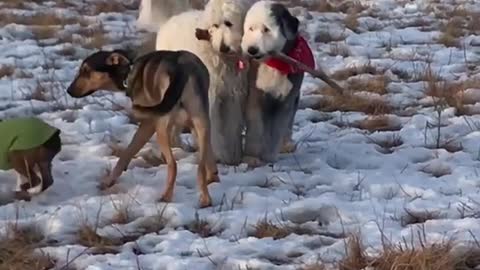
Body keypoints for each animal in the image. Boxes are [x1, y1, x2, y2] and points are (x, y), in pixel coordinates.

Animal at [66, 49, 219, 208]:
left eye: (86, 71)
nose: (68, 90)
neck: (128, 72)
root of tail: (181, 68)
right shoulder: (195, 124)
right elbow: (208, 157)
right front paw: (213, 177)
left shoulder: (149, 123)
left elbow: (128, 151)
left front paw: (109, 181)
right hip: (201, 120)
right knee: (200, 166)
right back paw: (206, 199)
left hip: (162, 126)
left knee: (173, 165)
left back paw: (166, 196)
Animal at [136, 0, 253, 166]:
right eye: (215, 25)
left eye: (228, 23)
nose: (223, 47)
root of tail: (170, 19)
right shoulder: (210, 97)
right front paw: (217, 155)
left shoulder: (233, 97)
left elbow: (231, 126)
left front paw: (232, 155)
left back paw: (177, 145)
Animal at [240, 1, 316, 166]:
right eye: (251, 28)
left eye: (266, 29)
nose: (252, 49)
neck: (276, 64)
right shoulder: (255, 96)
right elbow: (256, 128)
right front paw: (251, 157)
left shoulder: (286, 99)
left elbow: (277, 128)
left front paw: (270, 156)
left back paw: (286, 144)